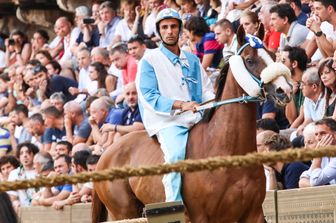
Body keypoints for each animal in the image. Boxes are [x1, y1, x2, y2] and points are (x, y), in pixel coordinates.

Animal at [93, 26, 292, 223]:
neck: (225, 153)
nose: (284, 90)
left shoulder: (253, 214)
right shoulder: (200, 216)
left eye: (272, 56)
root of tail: (105, 155)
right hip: (124, 211)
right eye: (250, 60)